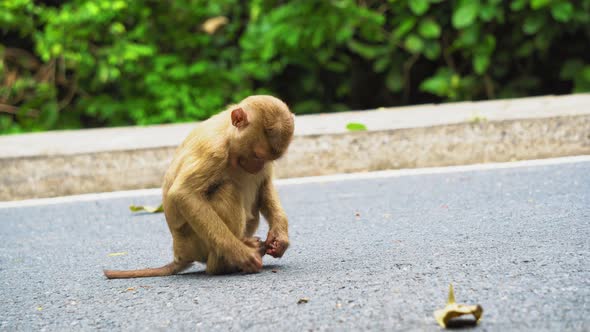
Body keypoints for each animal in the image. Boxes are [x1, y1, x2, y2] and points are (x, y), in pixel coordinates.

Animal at [104, 95, 296, 278]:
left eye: (267, 159)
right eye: (257, 155)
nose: (257, 167)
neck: (228, 135)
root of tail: (180, 254)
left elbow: (265, 185)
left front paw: (280, 237)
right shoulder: (213, 150)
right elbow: (184, 193)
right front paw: (243, 255)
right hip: (195, 242)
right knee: (227, 189)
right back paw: (223, 264)